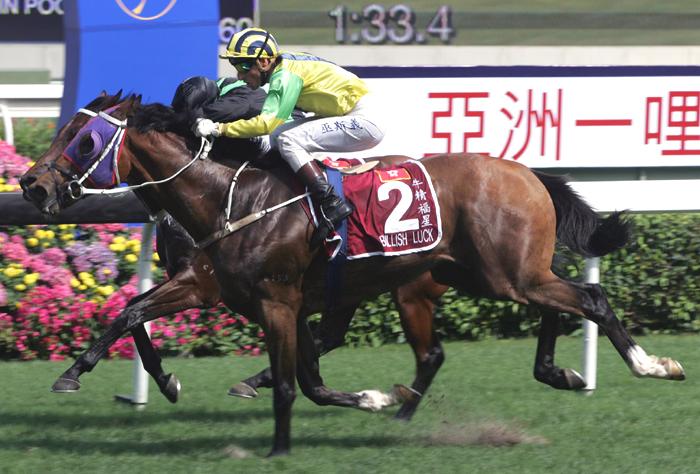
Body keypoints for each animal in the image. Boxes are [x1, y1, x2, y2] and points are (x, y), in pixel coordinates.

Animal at [20, 93, 685, 456]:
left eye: (82, 141)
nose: (32, 185)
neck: (230, 197)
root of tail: (527, 173)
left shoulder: (272, 300)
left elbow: (296, 383)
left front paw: (279, 443)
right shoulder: (251, 295)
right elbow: (135, 312)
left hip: (497, 273)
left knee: (589, 296)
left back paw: (651, 365)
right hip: (486, 274)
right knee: (542, 310)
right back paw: (551, 374)